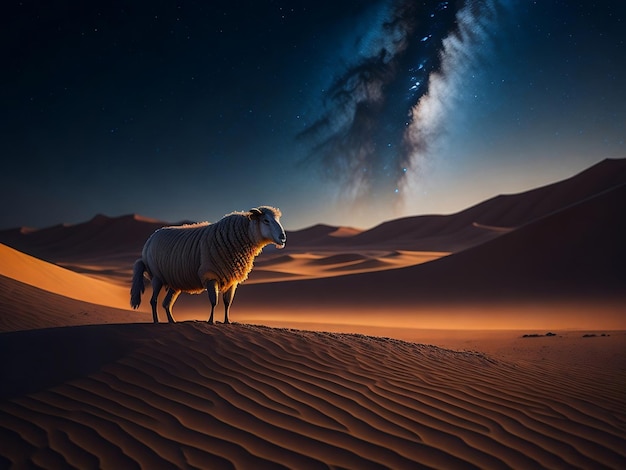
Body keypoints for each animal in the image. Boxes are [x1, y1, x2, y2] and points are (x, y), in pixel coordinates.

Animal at [129, 206, 286, 324]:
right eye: (266, 220)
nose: (283, 237)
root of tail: (151, 238)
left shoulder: (232, 280)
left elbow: (227, 303)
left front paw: (227, 322)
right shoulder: (210, 275)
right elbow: (214, 301)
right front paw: (211, 321)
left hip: (174, 283)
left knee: (166, 303)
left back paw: (172, 322)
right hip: (157, 277)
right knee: (153, 301)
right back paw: (156, 321)